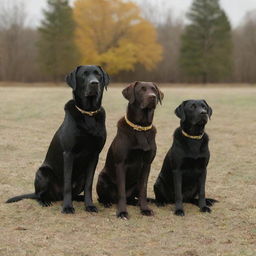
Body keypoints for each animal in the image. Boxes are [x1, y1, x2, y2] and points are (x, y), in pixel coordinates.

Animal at [6, 65, 109, 213]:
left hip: (80, 178)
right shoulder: (68, 153)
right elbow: (67, 183)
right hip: (43, 173)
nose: (94, 83)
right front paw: (67, 207)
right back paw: (45, 201)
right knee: (39, 195)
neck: (88, 113)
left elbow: (89, 185)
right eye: (84, 75)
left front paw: (89, 205)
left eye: (98, 75)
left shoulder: (95, 155)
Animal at [96, 81, 164, 219]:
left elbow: (143, 190)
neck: (141, 127)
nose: (153, 97)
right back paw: (107, 203)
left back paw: (136, 202)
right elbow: (121, 191)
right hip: (102, 178)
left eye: (154, 90)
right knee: (105, 197)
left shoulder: (147, 164)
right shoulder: (121, 164)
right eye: (141, 90)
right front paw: (122, 212)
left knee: (134, 197)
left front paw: (145, 209)